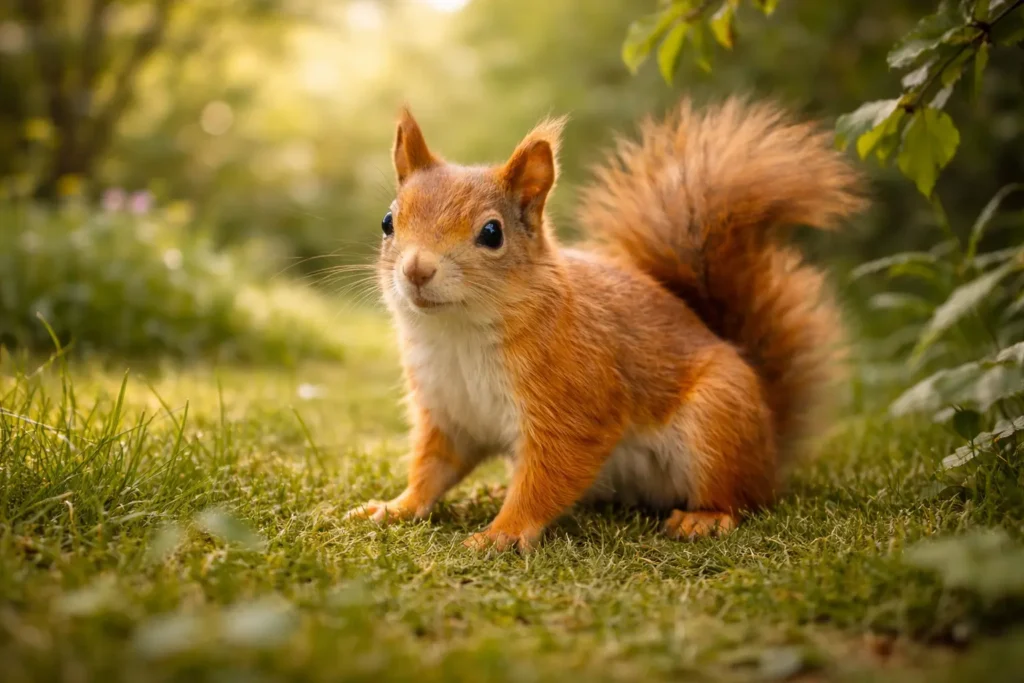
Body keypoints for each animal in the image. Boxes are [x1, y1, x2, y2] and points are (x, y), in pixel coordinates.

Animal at [346, 98, 864, 550]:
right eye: (388, 221)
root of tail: (771, 446)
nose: (417, 270)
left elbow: (548, 475)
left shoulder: (575, 400)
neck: (458, 334)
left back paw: (705, 518)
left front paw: (503, 533)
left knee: (741, 497)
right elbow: (432, 469)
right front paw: (393, 508)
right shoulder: (449, 412)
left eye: (492, 233)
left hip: (719, 423)